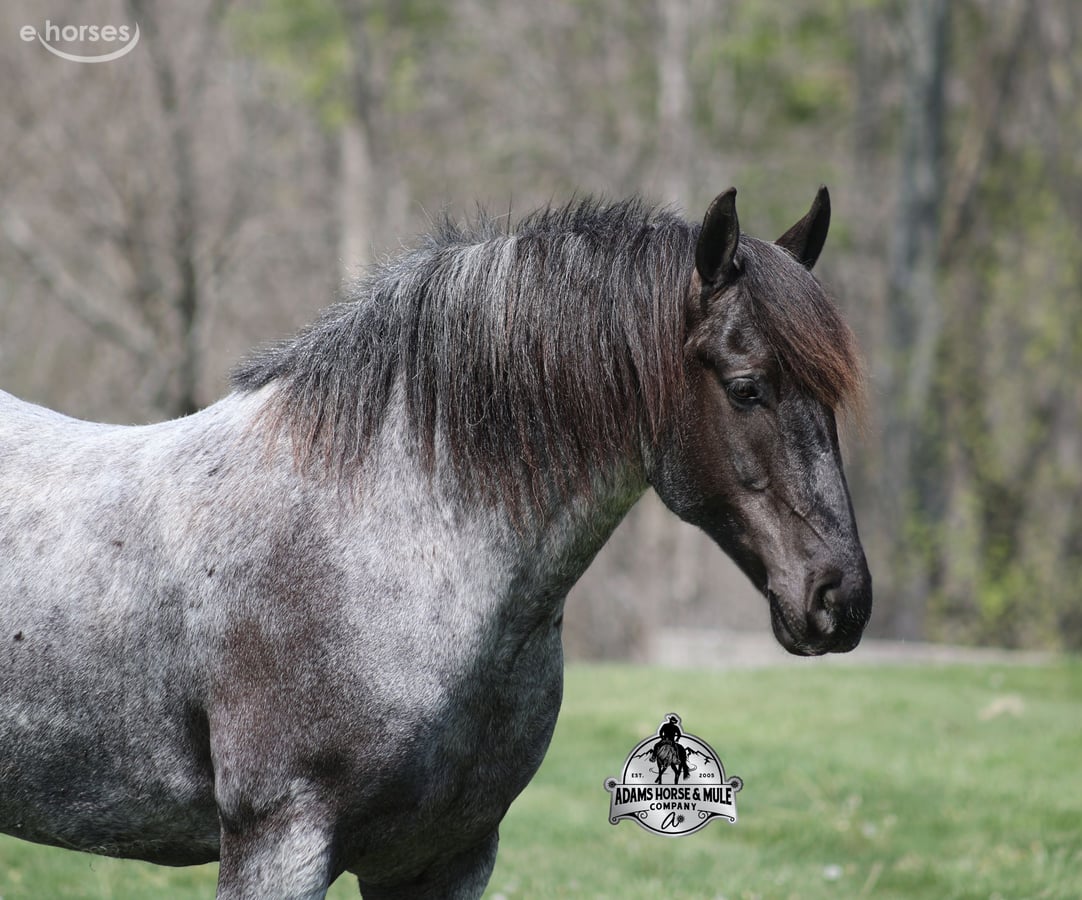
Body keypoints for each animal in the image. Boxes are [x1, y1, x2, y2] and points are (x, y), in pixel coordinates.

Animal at [0, 186, 872, 899]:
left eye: (831, 397)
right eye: (747, 389)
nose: (842, 599)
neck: (380, 542)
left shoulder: (442, 857)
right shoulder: (277, 846)